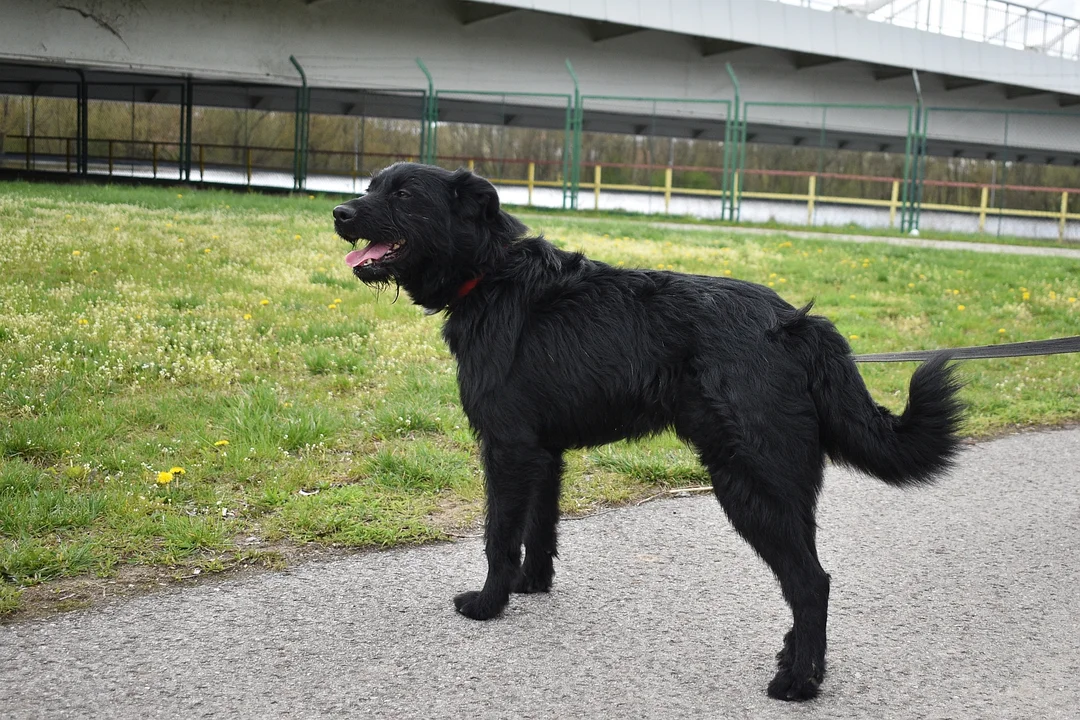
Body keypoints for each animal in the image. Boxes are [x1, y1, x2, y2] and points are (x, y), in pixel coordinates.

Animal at [332, 161, 967, 699]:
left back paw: (799, 683)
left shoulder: (507, 450)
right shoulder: (543, 454)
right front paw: (530, 585)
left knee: (811, 582)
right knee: (808, 577)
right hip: (781, 488)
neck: (490, 275)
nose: (338, 212)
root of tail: (795, 324)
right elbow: (539, 529)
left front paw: (490, 603)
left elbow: (499, 536)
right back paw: (796, 660)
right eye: (370, 185)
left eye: (404, 194)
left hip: (752, 483)